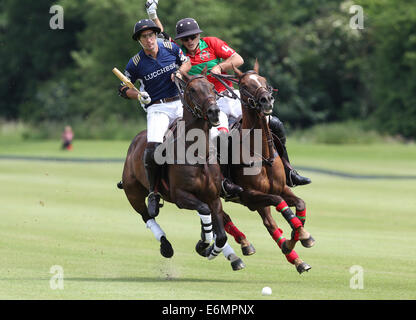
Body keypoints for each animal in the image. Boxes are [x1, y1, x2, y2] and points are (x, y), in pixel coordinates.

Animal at [119, 69, 247, 272]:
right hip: (133, 192)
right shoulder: (180, 196)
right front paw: (203, 244)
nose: (214, 112)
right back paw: (165, 245)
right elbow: (205, 212)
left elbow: (220, 234)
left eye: (211, 87)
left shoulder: (213, 197)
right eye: (193, 90)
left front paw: (209, 248)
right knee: (147, 216)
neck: (197, 152)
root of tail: (136, 140)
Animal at [216, 61, 314, 274]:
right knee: (222, 216)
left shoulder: (280, 188)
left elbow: (300, 204)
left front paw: (300, 237)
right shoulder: (249, 195)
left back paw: (296, 259)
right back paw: (244, 246)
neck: (262, 155)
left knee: (268, 224)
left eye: (263, 80)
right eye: (244, 85)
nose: (266, 100)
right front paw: (299, 237)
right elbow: (280, 204)